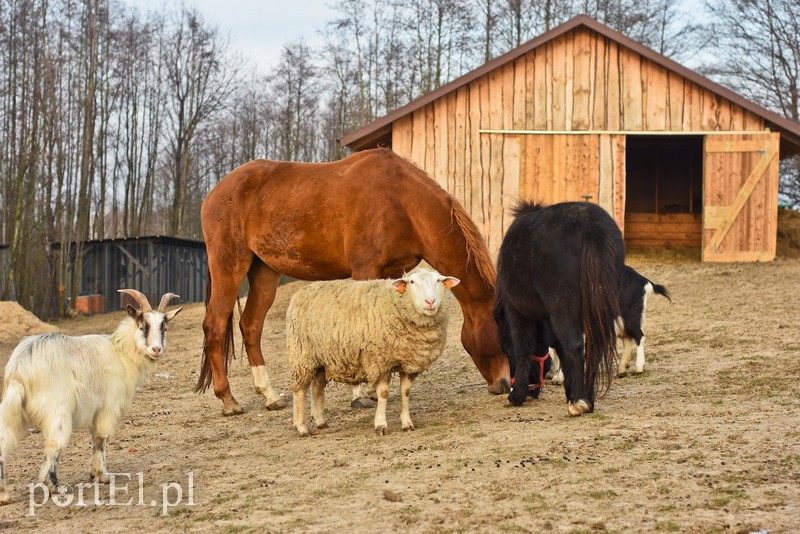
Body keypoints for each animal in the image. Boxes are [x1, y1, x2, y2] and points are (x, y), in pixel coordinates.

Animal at [0, 292, 181, 504]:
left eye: (164, 328)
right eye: (142, 326)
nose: (156, 349)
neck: (121, 353)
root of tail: (19, 369)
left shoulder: (96, 412)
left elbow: (95, 439)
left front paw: (94, 473)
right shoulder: (108, 408)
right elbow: (101, 440)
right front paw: (103, 476)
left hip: (14, 412)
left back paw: (4, 495)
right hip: (57, 412)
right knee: (53, 447)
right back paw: (54, 486)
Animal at [202, 149, 512, 416]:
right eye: (502, 332)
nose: (506, 384)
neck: (402, 201)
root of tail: (214, 192)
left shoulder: (393, 271)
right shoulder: (366, 268)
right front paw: (361, 394)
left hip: (264, 272)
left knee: (250, 326)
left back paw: (269, 395)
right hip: (229, 266)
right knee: (215, 326)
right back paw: (228, 400)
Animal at [290, 270, 460, 438]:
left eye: (438, 280)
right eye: (412, 282)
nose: (430, 301)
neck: (395, 305)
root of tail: (302, 290)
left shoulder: (409, 363)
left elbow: (405, 392)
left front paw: (407, 423)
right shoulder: (380, 362)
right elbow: (383, 393)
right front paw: (381, 425)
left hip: (321, 359)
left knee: (317, 388)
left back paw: (320, 422)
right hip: (302, 356)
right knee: (299, 391)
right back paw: (302, 427)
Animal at [494, 203, 624, 416]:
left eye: (504, 347)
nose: (532, 391)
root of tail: (589, 226)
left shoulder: (516, 312)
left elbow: (523, 347)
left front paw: (516, 396)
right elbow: (561, 350)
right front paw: (569, 389)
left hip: (562, 307)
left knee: (575, 345)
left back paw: (578, 402)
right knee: (593, 349)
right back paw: (587, 399)